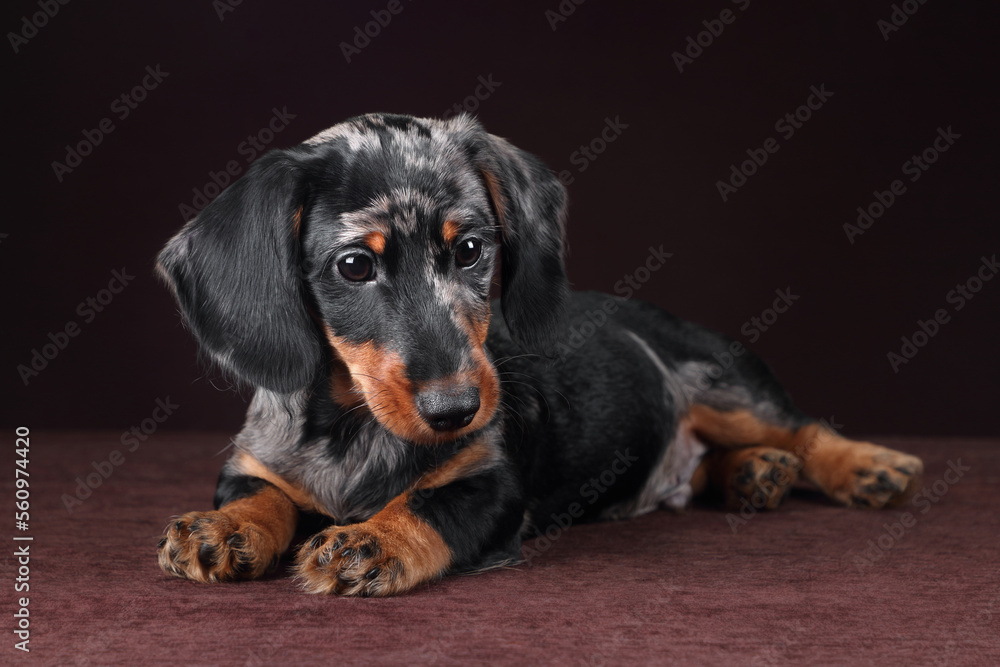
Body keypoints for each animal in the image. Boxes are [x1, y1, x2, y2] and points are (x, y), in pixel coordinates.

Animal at [156, 112, 920, 596]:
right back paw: (753, 473)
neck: (355, 428)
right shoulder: (252, 464)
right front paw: (223, 530)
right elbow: (260, 496)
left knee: (801, 428)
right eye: (354, 266)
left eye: (470, 249)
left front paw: (370, 541)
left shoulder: (490, 485)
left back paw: (865, 467)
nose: (456, 410)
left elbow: (426, 504)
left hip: (725, 385)